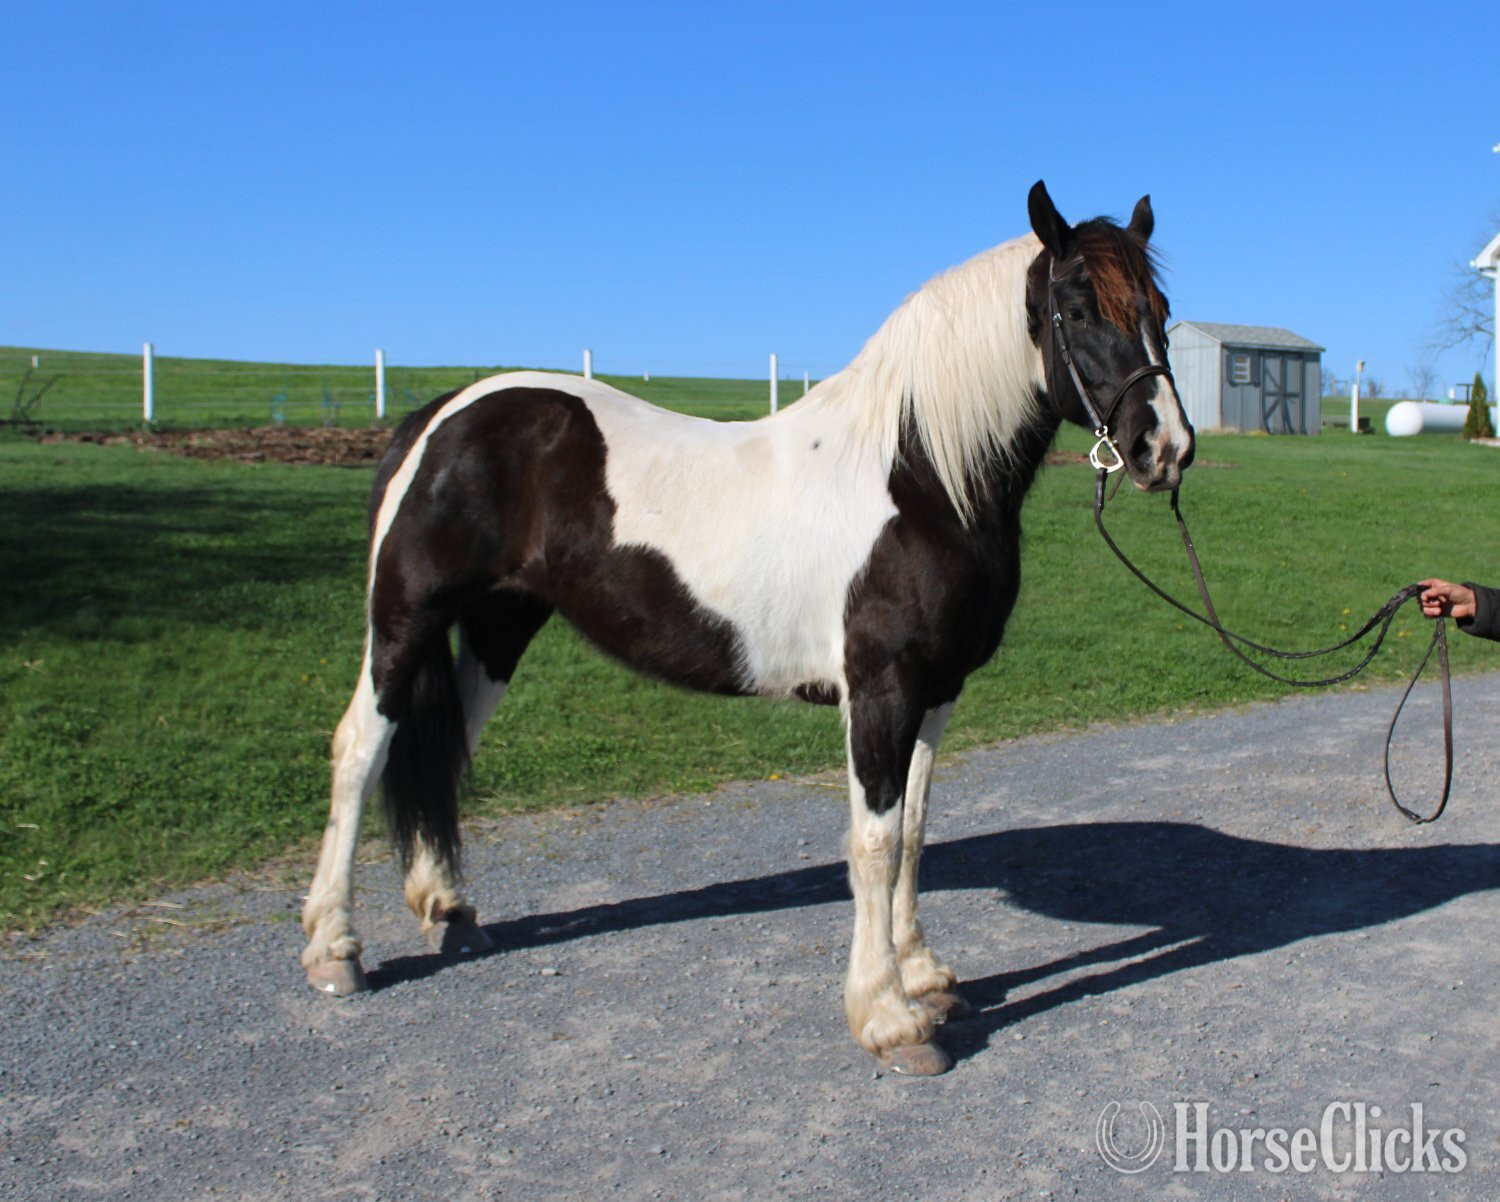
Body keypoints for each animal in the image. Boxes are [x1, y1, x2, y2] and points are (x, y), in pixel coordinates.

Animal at [300, 180, 1195, 1075]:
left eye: (1161, 310)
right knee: (361, 748)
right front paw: (890, 1020)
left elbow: (913, 831)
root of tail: (437, 417)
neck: (919, 478)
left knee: (445, 750)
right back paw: (334, 951)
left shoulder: (939, 691)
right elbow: (873, 844)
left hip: (499, 626)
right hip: (406, 619)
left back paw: (448, 911)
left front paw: (924, 977)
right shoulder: (881, 690)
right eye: (1075, 308)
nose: (1167, 449)